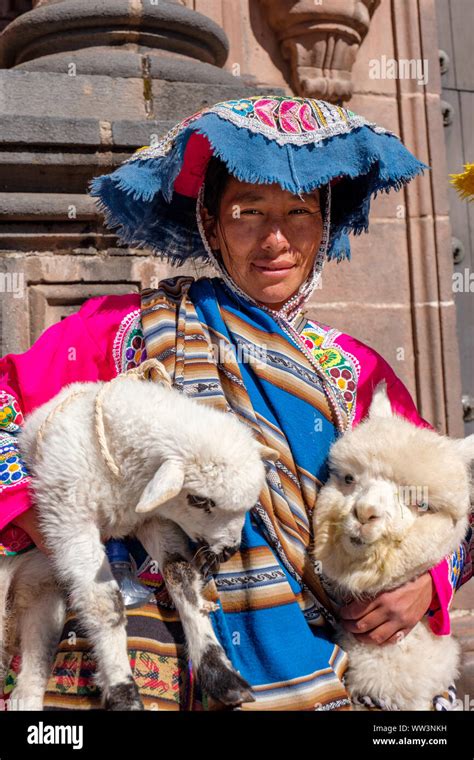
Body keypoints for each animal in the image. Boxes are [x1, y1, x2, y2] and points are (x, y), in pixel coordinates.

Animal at [0, 360, 278, 708]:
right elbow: (104, 602)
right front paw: (122, 692)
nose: (229, 551)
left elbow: (181, 578)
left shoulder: (152, 519)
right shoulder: (69, 518)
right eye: (200, 500)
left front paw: (219, 673)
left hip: (40, 593)